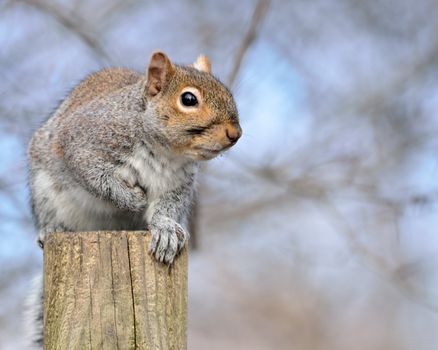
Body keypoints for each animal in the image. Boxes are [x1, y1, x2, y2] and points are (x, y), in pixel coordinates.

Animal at [25, 52, 241, 348]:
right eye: (188, 99)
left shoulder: (178, 185)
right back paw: (51, 229)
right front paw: (133, 199)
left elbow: (167, 208)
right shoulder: (83, 143)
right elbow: (96, 177)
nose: (235, 134)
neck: (166, 151)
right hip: (44, 189)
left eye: (227, 92)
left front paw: (165, 230)